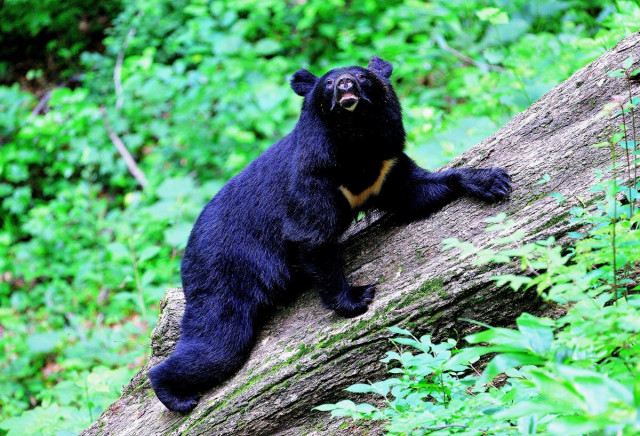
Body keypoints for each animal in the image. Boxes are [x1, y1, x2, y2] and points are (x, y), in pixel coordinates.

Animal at [148, 55, 512, 412]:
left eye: (362, 76)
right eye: (327, 83)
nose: (345, 84)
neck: (356, 140)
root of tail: (188, 255)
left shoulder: (386, 165)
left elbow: (416, 192)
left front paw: (491, 180)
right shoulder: (315, 178)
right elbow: (311, 239)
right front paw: (357, 298)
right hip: (223, 277)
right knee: (219, 344)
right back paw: (176, 395)